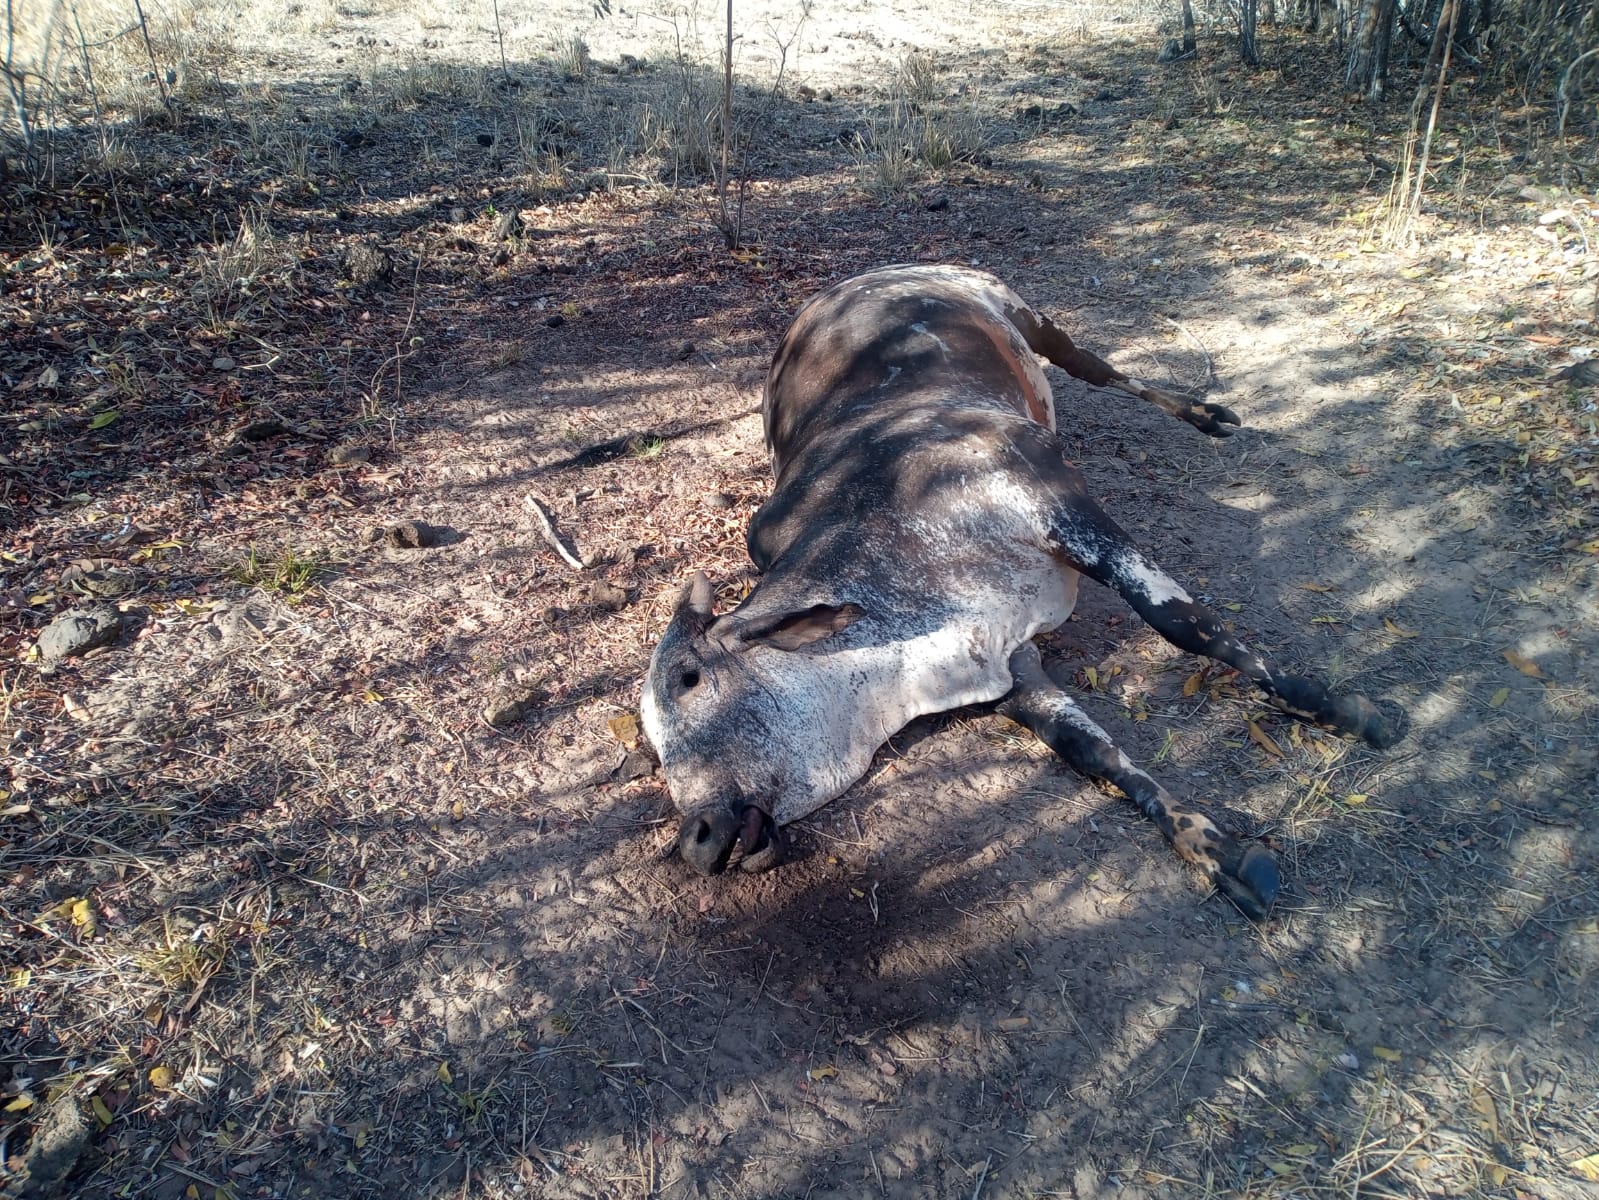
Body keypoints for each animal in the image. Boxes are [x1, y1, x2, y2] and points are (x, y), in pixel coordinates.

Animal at [642, 265, 1407, 921]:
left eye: (689, 677)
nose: (697, 838)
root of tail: (852, 280)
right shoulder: (1011, 668)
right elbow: (1097, 756)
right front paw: (1216, 851)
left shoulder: (1059, 506)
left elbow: (1186, 625)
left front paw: (1337, 707)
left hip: (1029, 318)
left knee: (1103, 371)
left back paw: (1204, 412)